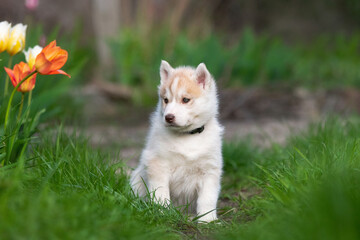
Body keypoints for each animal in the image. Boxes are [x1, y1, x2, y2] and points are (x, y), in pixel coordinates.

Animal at [131, 60, 224, 223]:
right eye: (166, 100)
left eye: (185, 100)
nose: (168, 117)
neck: (187, 136)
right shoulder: (157, 164)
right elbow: (161, 193)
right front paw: (162, 213)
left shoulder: (210, 169)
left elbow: (207, 198)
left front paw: (207, 220)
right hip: (136, 179)